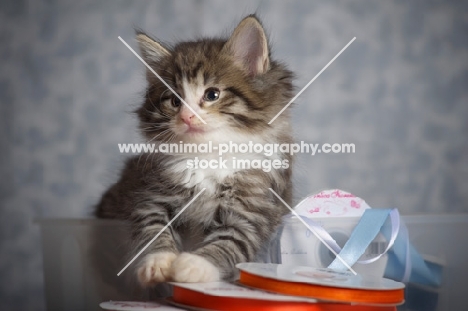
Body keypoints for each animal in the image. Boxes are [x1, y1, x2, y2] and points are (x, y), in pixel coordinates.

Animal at [94, 15, 292, 288]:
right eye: (175, 101)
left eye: (212, 94)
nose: (187, 117)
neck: (208, 155)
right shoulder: (149, 196)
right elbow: (152, 229)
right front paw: (158, 262)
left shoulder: (251, 208)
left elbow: (229, 242)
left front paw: (194, 265)